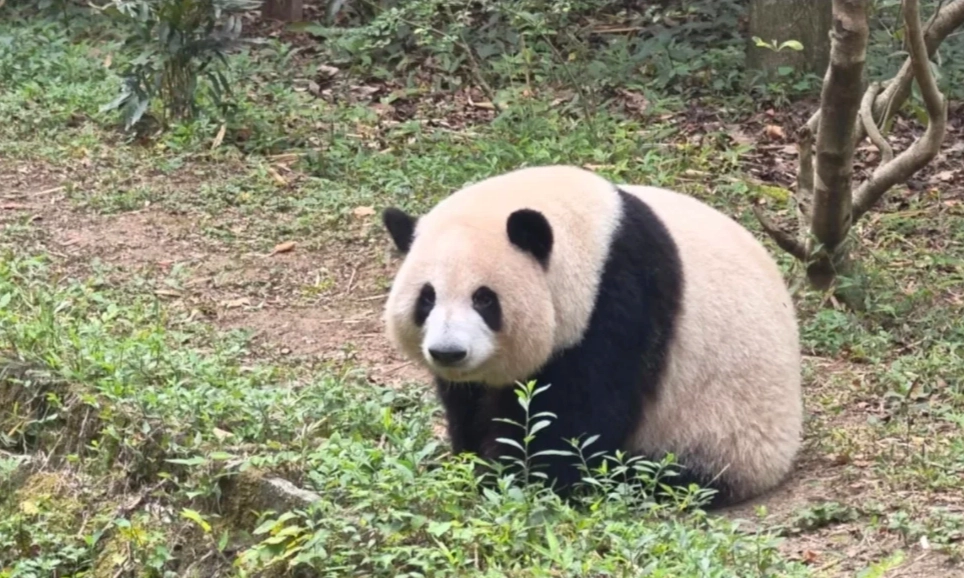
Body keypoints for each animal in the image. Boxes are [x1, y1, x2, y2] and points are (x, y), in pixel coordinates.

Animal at [380, 165, 803, 509]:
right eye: (427, 298)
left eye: (484, 298)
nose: (448, 352)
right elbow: (470, 403)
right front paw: (471, 462)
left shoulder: (619, 301)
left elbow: (580, 418)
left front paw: (518, 476)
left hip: (726, 432)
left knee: (663, 474)